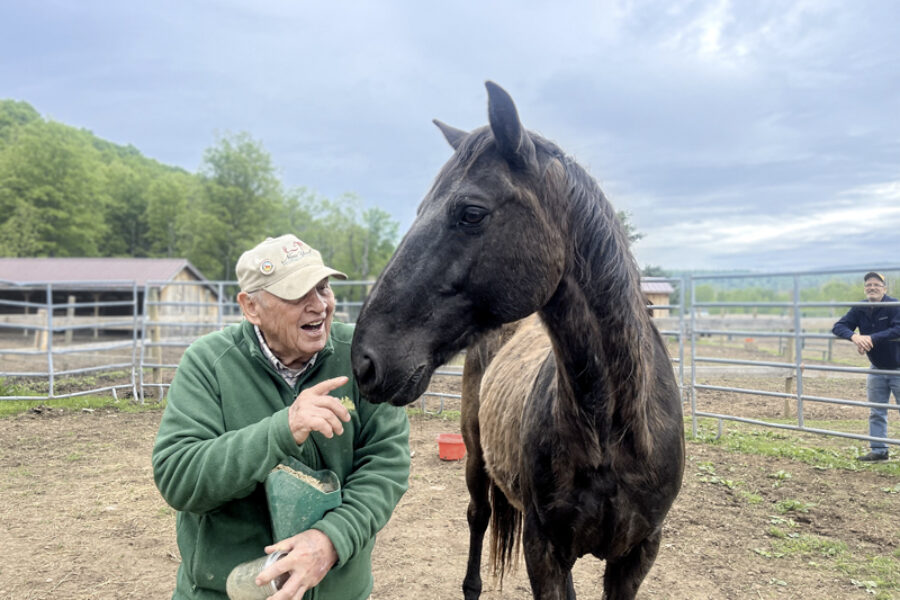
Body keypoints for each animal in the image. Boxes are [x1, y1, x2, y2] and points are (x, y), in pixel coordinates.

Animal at [352, 82, 684, 596]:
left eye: (471, 213)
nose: (365, 359)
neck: (614, 432)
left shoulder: (637, 554)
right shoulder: (544, 550)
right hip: (476, 455)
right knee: (479, 515)